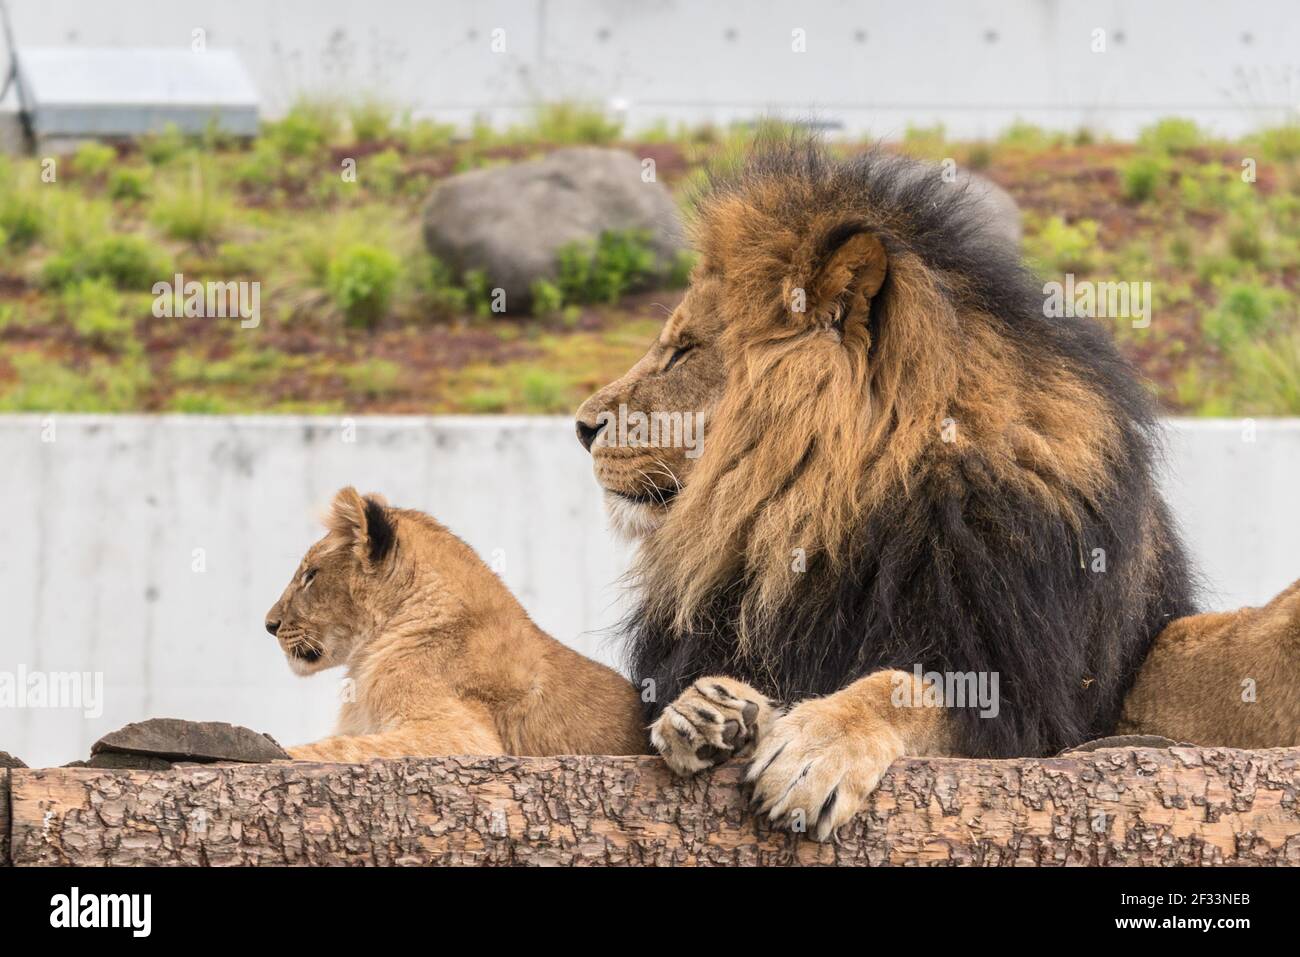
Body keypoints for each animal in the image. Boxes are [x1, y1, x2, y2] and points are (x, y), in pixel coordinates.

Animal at [574, 138, 1201, 842]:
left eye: (682, 351)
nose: (581, 428)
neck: (832, 508)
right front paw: (700, 711)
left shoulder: (1026, 708)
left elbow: (903, 685)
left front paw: (816, 747)